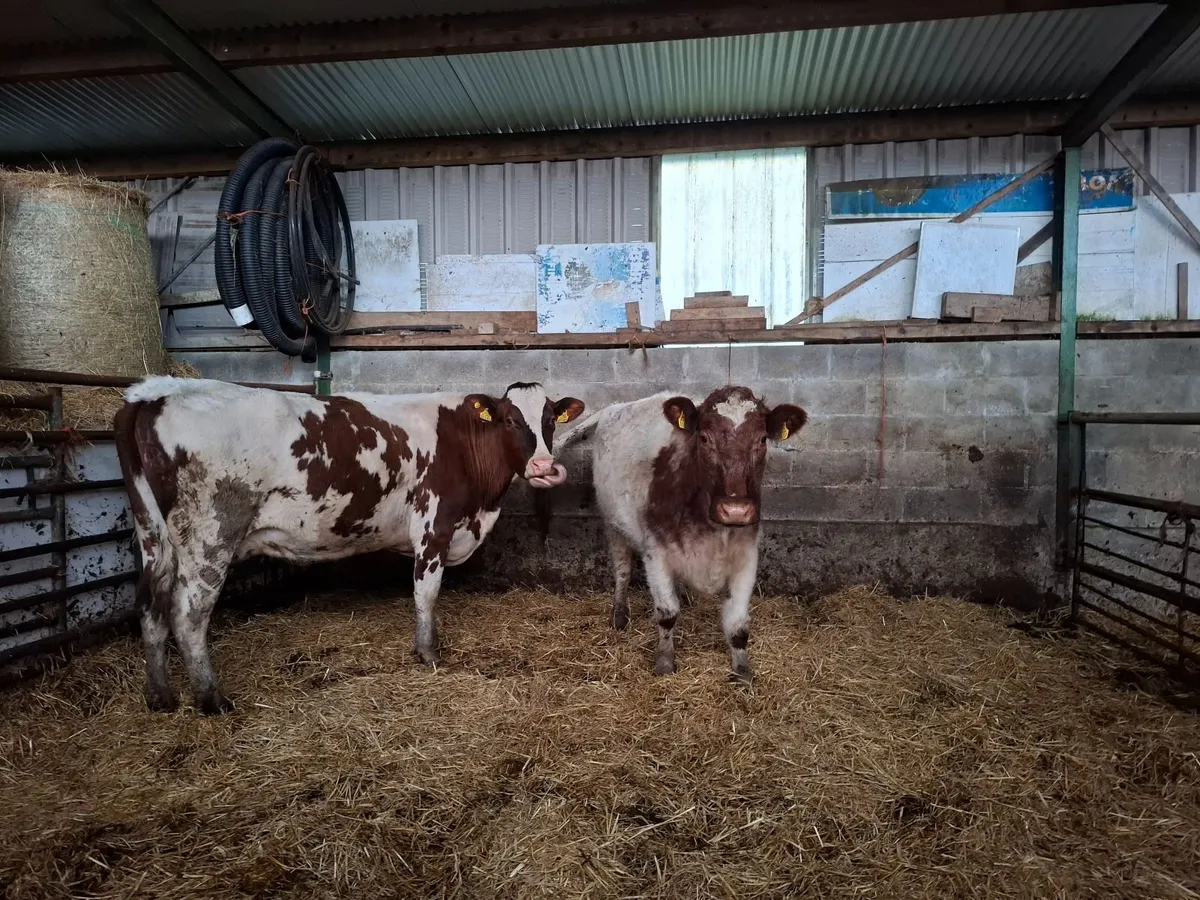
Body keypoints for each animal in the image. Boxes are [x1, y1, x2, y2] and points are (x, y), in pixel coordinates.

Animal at [114, 377, 584, 715]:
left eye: (549, 420)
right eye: (509, 420)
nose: (545, 466)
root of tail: (156, 393)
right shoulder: (433, 525)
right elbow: (426, 592)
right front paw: (428, 653)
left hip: (153, 535)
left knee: (150, 605)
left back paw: (160, 697)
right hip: (210, 535)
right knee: (188, 613)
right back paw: (212, 699)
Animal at [547, 386, 806, 683]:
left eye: (762, 439)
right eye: (704, 438)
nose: (735, 510)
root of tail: (616, 406)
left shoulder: (746, 555)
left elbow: (738, 625)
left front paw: (742, 671)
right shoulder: (655, 552)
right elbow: (667, 613)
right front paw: (665, 662)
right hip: (613, 524)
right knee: (622, 571)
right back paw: (619, 615)